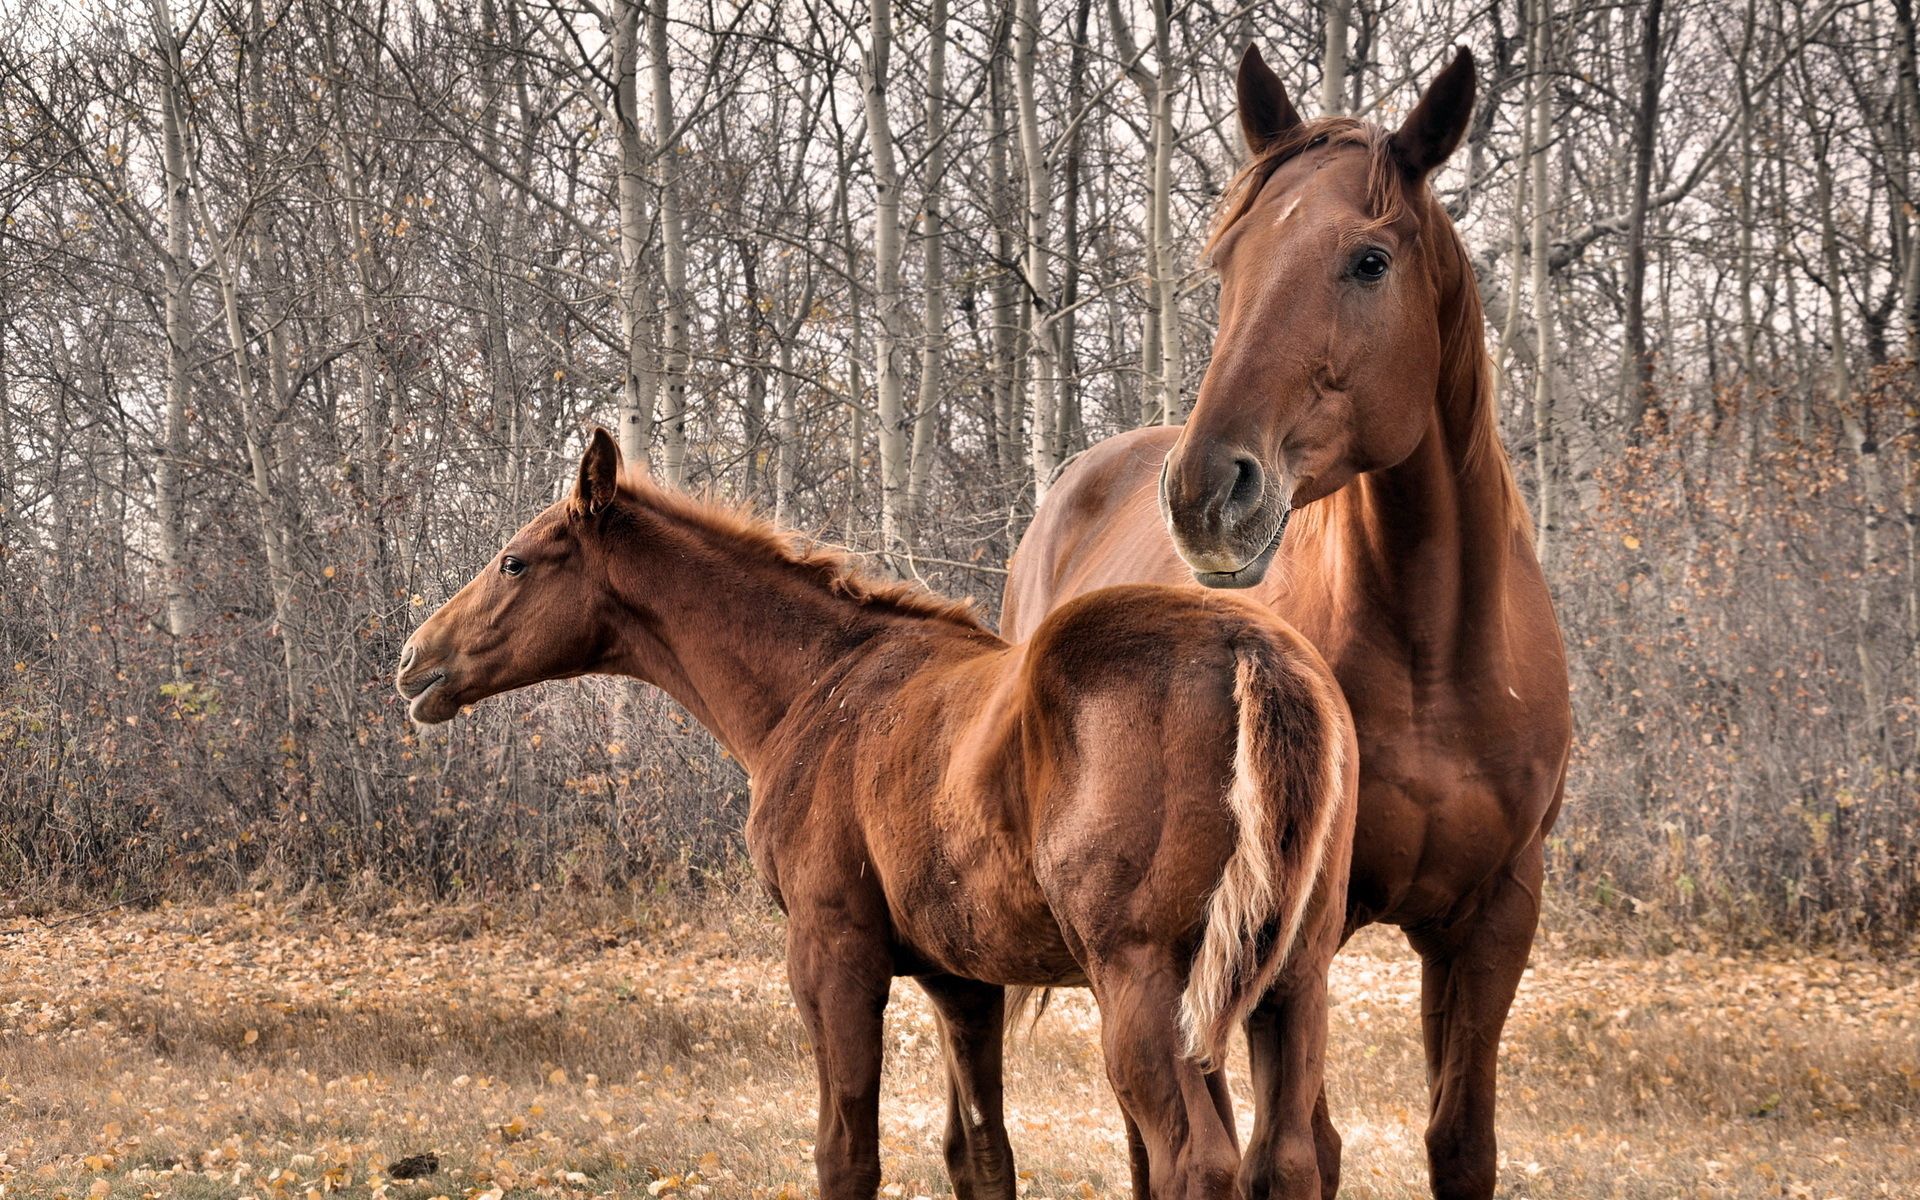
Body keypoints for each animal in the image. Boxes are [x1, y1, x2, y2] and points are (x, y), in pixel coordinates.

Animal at [397, 428, 1359, 1198]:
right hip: (1287, 984)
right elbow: (981, 1155)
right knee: (1289, 1157)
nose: (414, 660)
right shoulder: (961, 981)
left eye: (515, 561)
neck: (818, 685)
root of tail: (1252, 649)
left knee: (1197, 1158)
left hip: (1143, 982)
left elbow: (846, 1153)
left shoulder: (833, 954)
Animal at [1006, 44, 1574, 1198]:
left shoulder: (1496, 917)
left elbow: (1460, 1143)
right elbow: (1308, 1151)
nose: (1205, 490)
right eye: (1228, 265)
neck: (1435, 657)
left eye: (1369, 260)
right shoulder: (1310, 930)